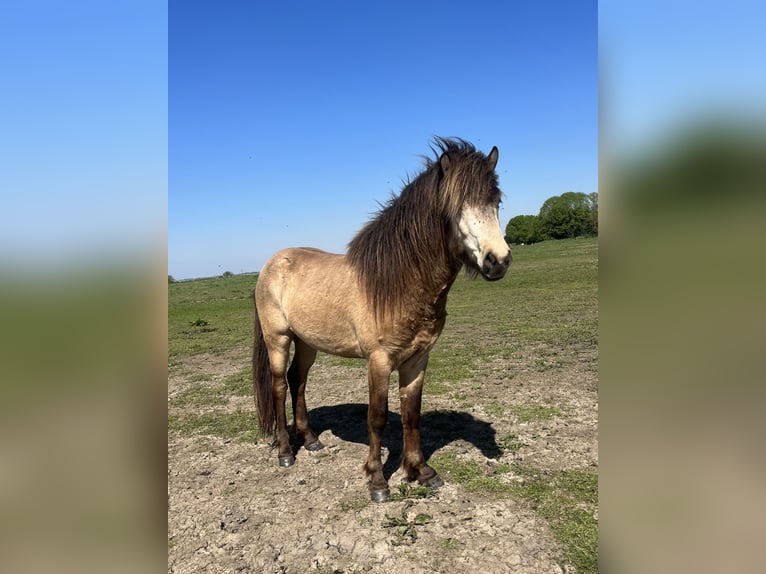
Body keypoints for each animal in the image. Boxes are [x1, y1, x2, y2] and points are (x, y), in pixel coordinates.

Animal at [252, 137, 511, 502]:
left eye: (495, 201)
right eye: (456, 205)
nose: (498, 260)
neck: (397, 284)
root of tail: (272, 263)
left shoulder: (417, 360)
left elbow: (411, 415)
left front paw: (421, 471)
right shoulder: (378, 360)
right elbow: (376, 418)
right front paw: (377, 481)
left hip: (307, 343)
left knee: (297, 381)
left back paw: (312, 440)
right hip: (278, 338)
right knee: (278, 386)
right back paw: (286, 452)